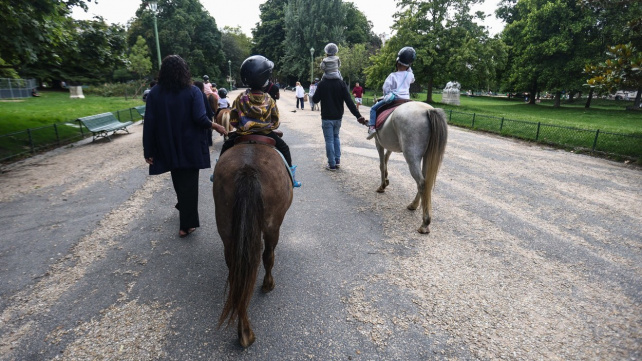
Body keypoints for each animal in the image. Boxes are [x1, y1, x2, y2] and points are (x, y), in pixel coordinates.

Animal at [212, 140, 292, 346]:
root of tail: (248, 169)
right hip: (273, 226)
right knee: (268, 256)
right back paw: (267, 285)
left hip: (227, 228)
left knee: (238, 271)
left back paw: (244, 331)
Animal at [370, 101, 444, 233]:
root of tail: (427, 110)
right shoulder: (390, 146)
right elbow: (386, 159)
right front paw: (386, 180)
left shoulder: (379, 143)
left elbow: (382, 164)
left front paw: (382, 185)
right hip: (427, 155)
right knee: (425, 182)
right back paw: (413, 205)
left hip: (411, 156)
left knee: (421, 182)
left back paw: (425, 223)